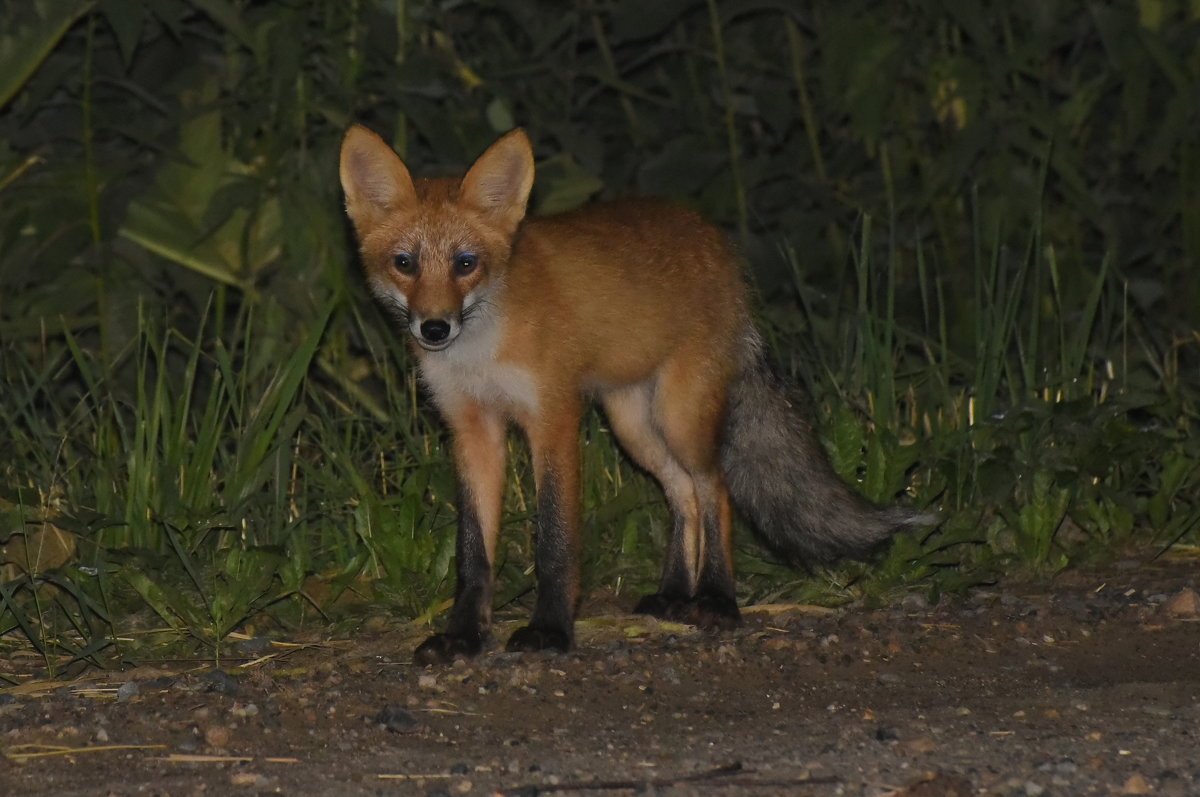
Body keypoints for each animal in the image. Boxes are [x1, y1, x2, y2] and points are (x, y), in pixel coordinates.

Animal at [338, 127, 926, 662]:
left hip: (681, 416)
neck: (481, 349)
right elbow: (473, 552)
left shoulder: (553, 419)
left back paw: (716, 600)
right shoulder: (471, 430)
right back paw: (673, 594)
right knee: (682, 493)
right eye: (405, 264)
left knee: (715, 488)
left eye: (466, 263)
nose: (435, 329)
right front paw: (463, 637)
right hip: (634, 425)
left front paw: (551, 630)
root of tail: (717, 244)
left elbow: (555, 543)